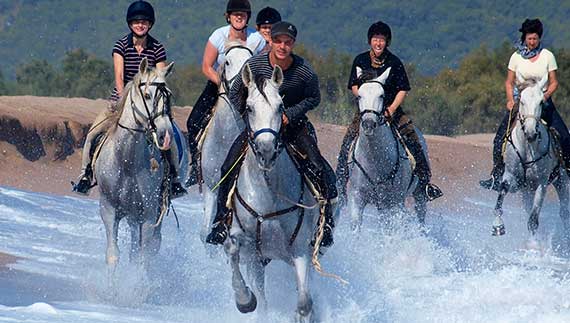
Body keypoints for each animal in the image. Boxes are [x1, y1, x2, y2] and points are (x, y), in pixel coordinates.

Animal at [93, 58, 183, 274]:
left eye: (168, 96)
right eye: (148, 95)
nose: (166, 134)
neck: (126, 161)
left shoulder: (149, 214)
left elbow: (144, 258)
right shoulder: (108, 209)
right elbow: (113, 255)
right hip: (133, 216)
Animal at [224, 64, 326, 322]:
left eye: (280, 107)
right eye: (249, 107)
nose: (266, 151)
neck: (268, 191)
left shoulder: (300, 249)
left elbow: (304, 303)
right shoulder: (246, 243)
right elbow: (231, 248)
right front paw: (245, 301)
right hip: (258, 259)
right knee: (262, 293)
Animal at [346, 67, 426, 232]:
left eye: (381, 95)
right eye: (359, 96)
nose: (369, 124)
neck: (374, 160)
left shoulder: (394, 202)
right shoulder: (357, 198)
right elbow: (356, 227)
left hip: (418, 195)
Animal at [490, 71, 564, 238]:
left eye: (541, 102)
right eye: (521, 102)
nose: (531, 133)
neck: (527, 146)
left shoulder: (541, 183)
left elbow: (533, 220)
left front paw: (533, 243)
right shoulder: (511, 176)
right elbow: (503, 190)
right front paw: (497, 225)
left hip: (562, 182)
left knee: (565, 209)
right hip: (527, 191)